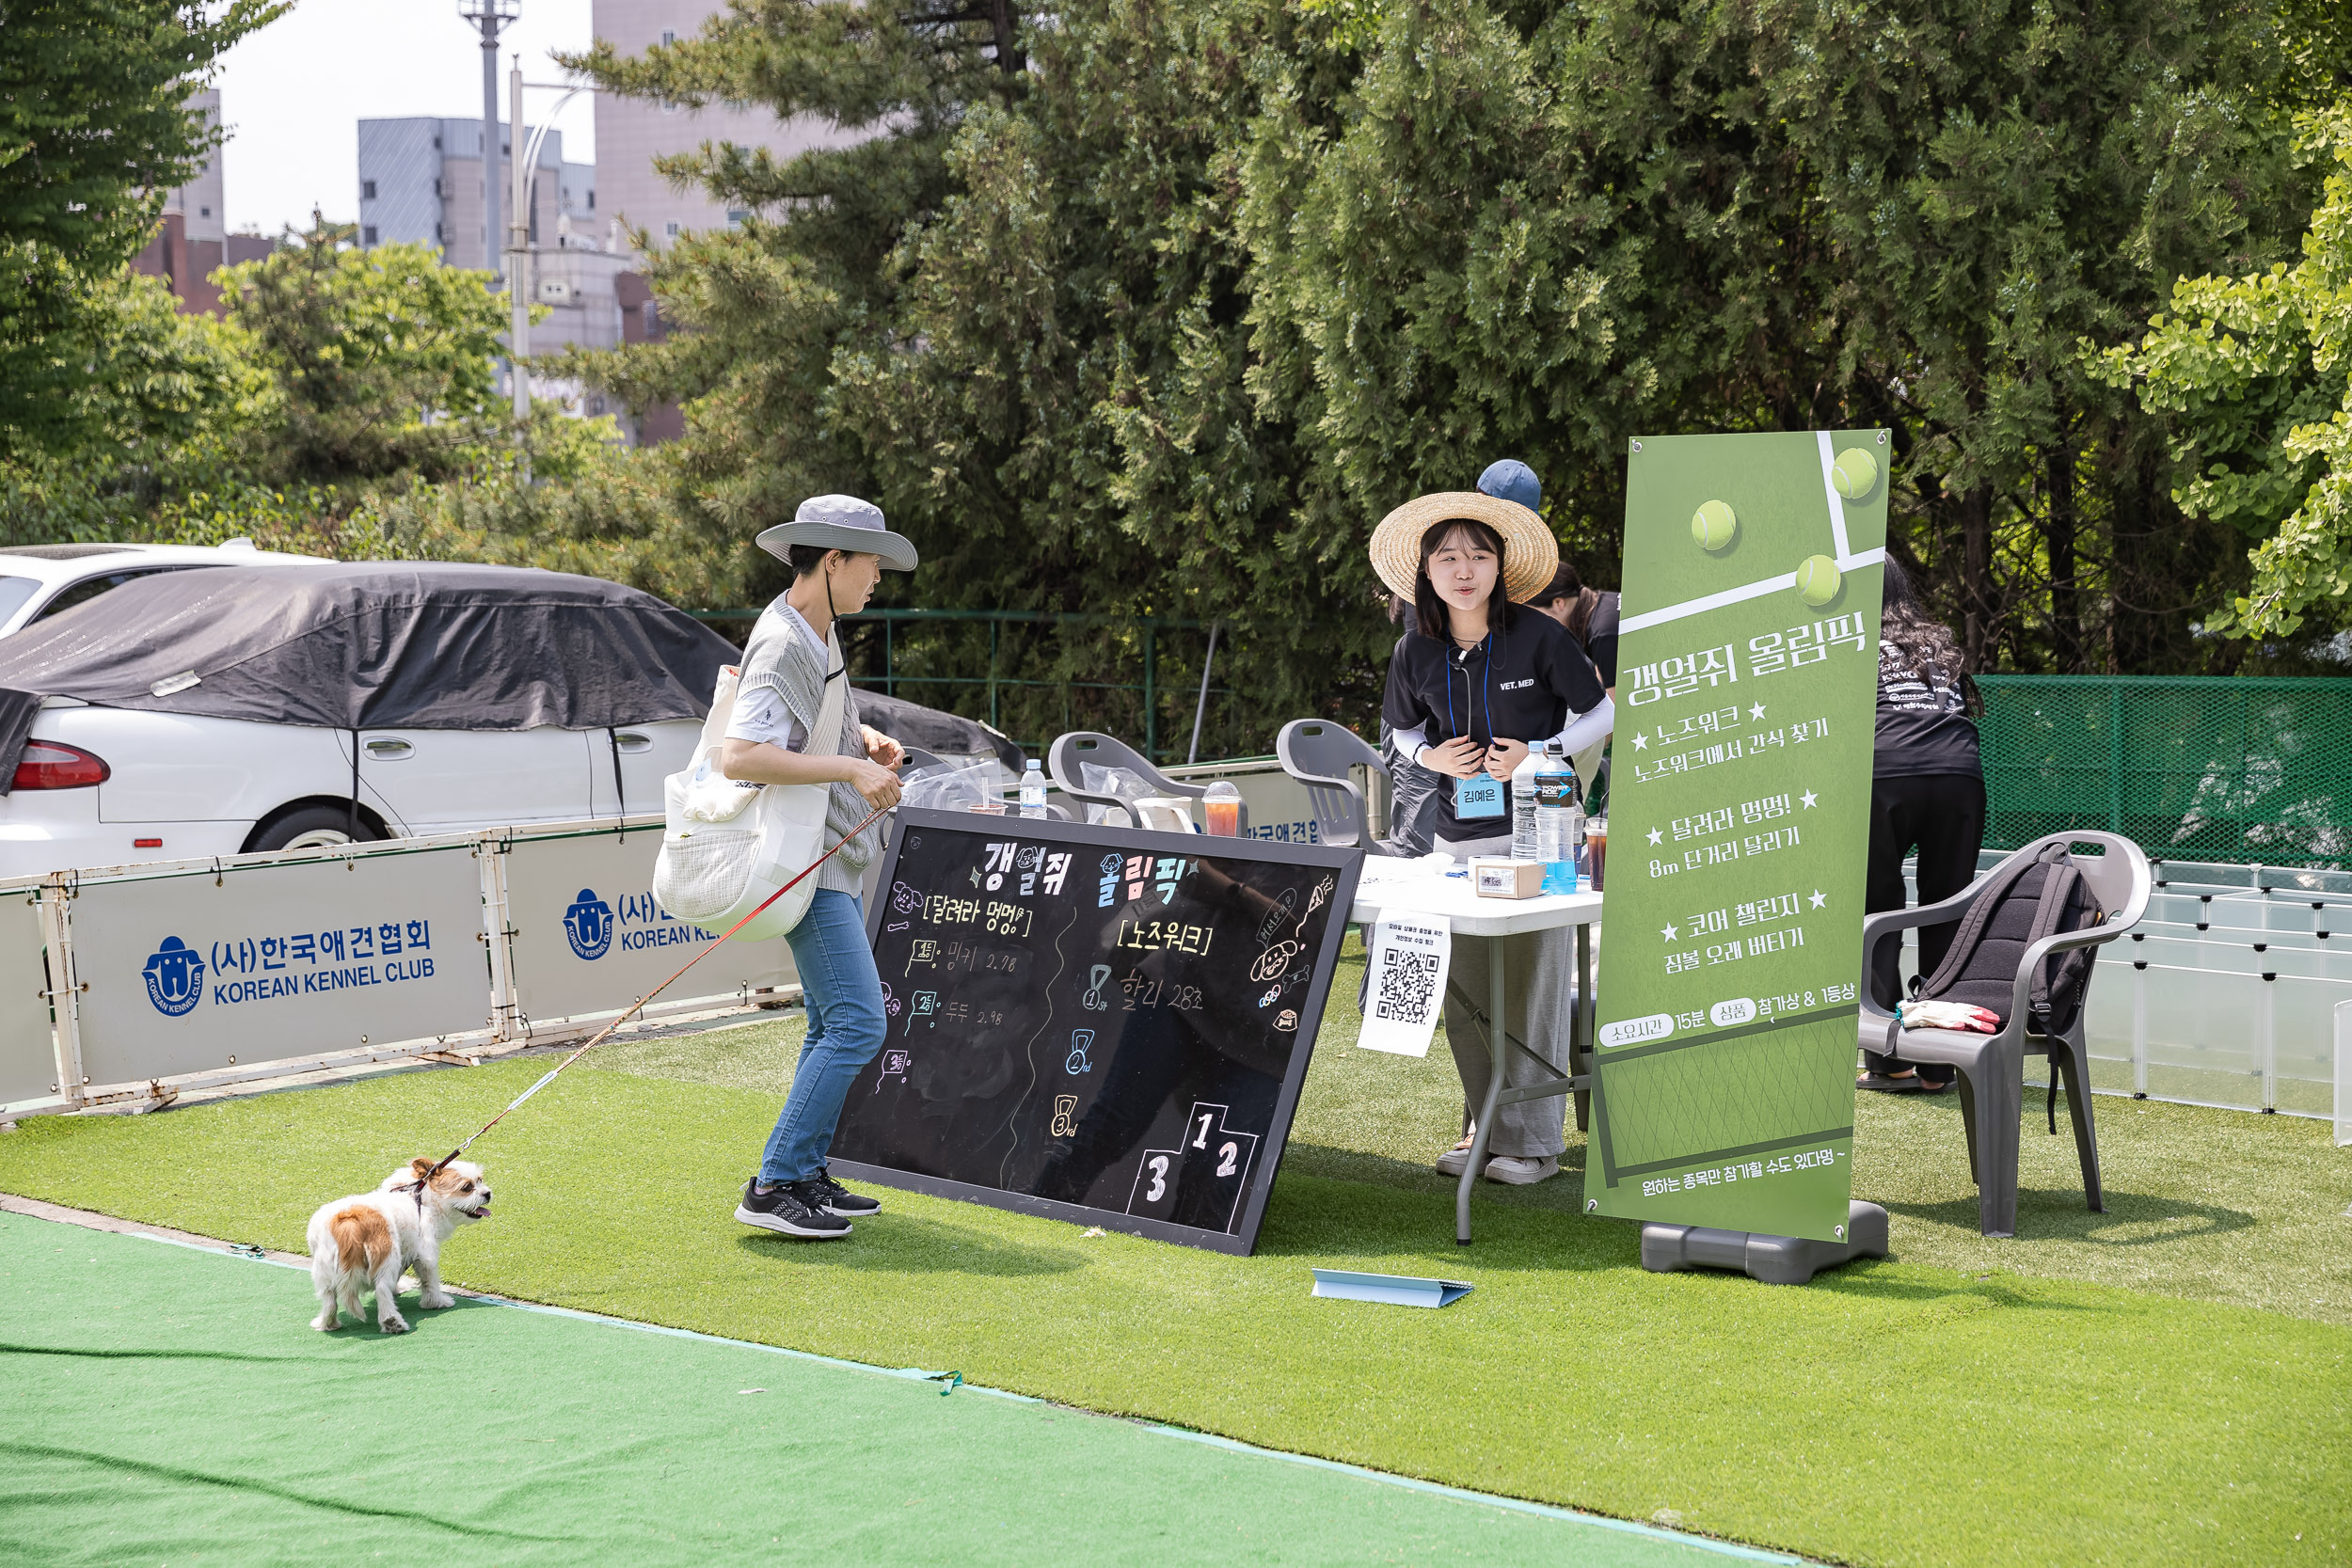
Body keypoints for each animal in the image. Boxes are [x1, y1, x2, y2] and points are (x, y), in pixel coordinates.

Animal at [308, 1161, 491, 1335]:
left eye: (480, 1180)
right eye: (467, 1187)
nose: (487, 1193)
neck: (421, 1196)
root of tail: (349, 1220)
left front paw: (398, 1288)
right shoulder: (426, 1252)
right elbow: (430, 1280)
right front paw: (437, 1302)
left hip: (324, 1268)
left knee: (329, 1299)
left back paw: (327, 1323)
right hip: (388, 1258)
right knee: (381, 1288)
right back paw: (392, 1322)